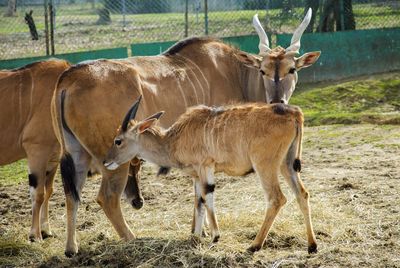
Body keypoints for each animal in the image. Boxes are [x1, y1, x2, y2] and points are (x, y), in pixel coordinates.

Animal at [0, 60, 70, 241]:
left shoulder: (53, 158)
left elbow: (48, 191)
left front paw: (46, 230)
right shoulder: (37, 151)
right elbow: (37, 194)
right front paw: (35, 235)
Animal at [104, 97, 318, 253]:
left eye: (118, 141)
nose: (106, 162)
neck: (173, 140)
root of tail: (294, 113)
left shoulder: (204, 167)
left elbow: (207, 197)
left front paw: (215, 236)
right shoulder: (197, 175)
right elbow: (199, 202)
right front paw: (196, 237)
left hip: (265, 166)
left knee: (276, 198)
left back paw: (254, 246)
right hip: (286, 165)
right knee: (302, 194)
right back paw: (312, 245)